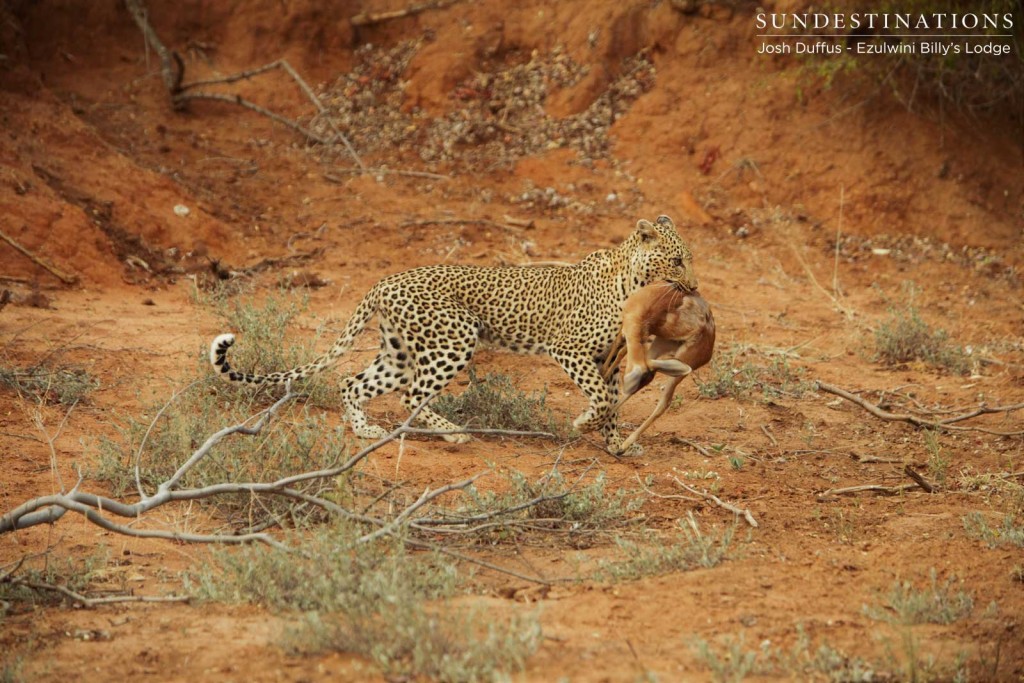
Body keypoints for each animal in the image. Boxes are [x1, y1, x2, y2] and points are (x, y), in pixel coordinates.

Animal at [211, 216, 700, 456]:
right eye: (677, 260)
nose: (695, 286)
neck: (633, 281)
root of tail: (384, 281)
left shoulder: (608, 360)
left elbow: (613, 402)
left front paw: (615, 444)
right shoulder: (571, 350)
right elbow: (600, 398)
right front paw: (584, 424)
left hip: (400, 352)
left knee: (353, 382)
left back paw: (366, 430)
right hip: (454, 338)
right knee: (411, 395)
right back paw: (455, 435)